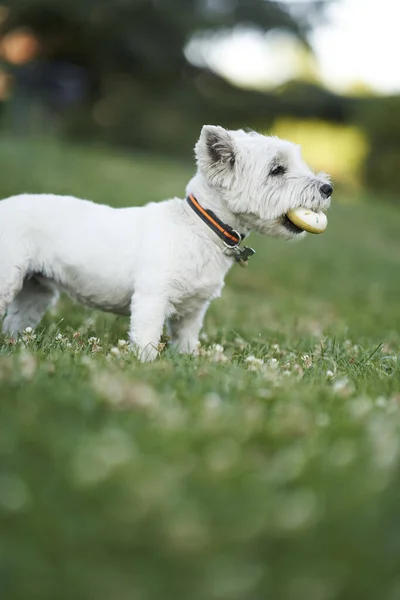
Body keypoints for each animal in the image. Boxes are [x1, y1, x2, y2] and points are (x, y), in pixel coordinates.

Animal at [0, 125, 332, 358]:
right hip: (8, 278)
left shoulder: (192, 312)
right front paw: (144, 365)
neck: (200, 230)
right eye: (277, 170)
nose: (328, 188)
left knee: (16, 321)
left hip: (35, 290)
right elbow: (146, 339)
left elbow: (186, 342)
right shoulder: (152, 299)